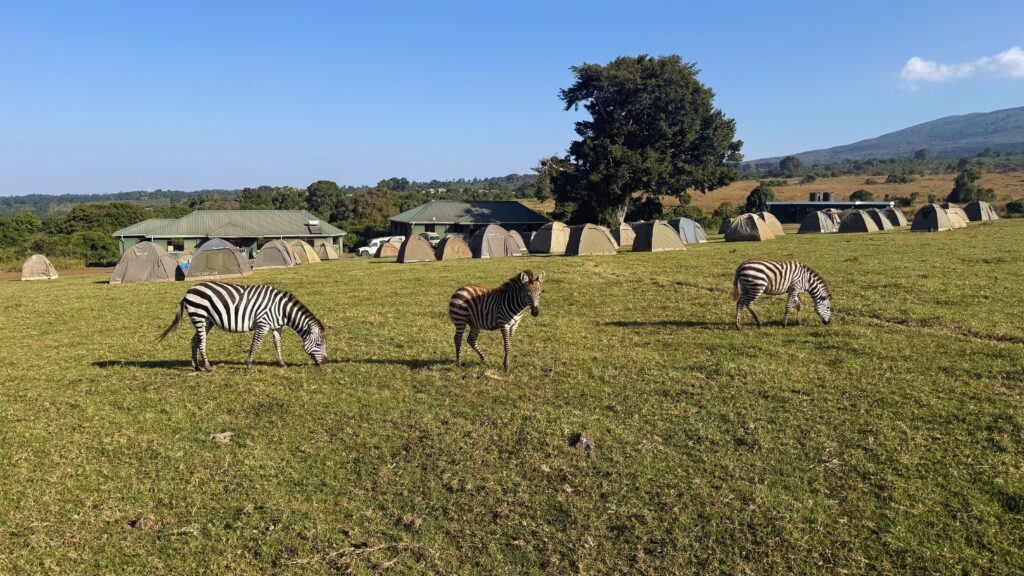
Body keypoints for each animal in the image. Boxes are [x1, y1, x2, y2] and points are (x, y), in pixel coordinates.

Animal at [159, 282, 326, 371]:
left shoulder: (276, 327)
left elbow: (278, 344)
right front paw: (248, 365)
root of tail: (189, 290)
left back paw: (196, 366)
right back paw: (207, 367)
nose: (325, 362)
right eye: (319, 344)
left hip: (207, 321)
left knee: (194, 340)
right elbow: (255, 344)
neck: (281, 309)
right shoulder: (262, 323)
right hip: (199, 316)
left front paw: (281, 363)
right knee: (201, 342)